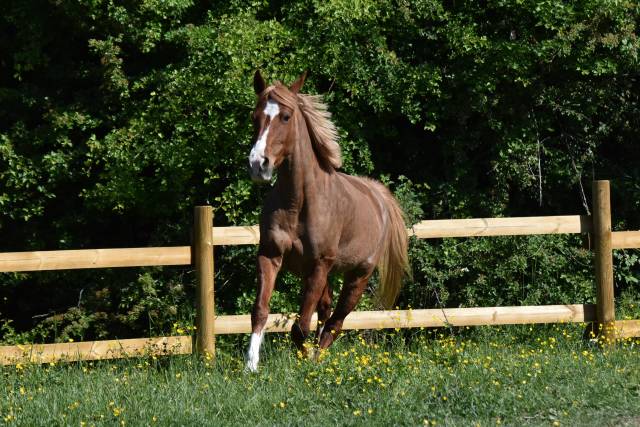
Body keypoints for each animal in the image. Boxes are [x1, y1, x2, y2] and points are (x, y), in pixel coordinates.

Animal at [245, 70, 410, 372]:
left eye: (286, 117)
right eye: (255, 116)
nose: (258, 164)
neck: (298, 202)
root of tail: (378, 197)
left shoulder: (318, 265)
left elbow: (300, 327)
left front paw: (305, 363)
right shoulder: (270, 256)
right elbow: (260, 311)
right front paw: (250, 366)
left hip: (357, 277)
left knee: (335, 322)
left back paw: (319, 361)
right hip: (327, 274)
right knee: (325, 313)